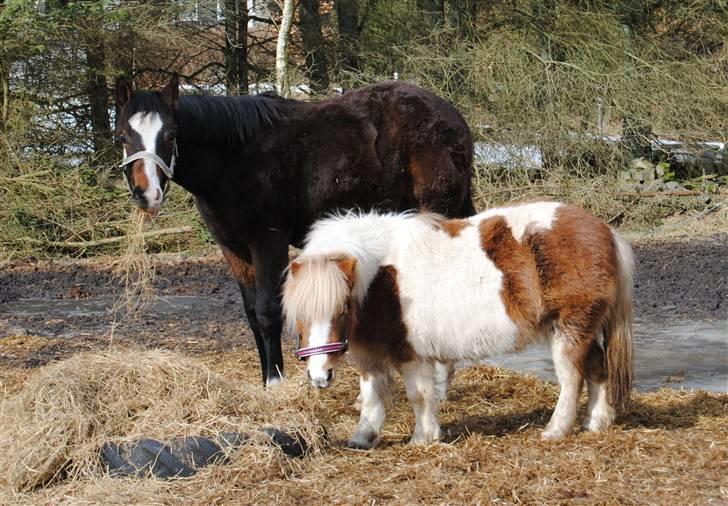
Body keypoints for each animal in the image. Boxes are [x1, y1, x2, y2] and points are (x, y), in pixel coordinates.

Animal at [114, 75, 474, 384]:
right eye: (123, 136)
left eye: (171, 135)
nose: (146, 194)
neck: (235, 159)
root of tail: (452, 115)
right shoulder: (232, 248)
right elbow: (251, 313)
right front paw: (265, 379)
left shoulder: (268, 240)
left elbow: (269, 310)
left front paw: (276, 381)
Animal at [282, 202, 636, 446]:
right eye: (299, 314)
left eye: (342, 308)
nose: (318, 376)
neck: (381, 279)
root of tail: (606, 232)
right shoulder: (372, 356)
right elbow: (370, 396)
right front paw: (362, 439)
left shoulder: (412, 355)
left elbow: (419, 395)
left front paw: (423, 438)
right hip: (576, 330)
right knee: (597, 368)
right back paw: (595, 422)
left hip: (569, 330)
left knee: (572, 378)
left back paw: (555, 430)